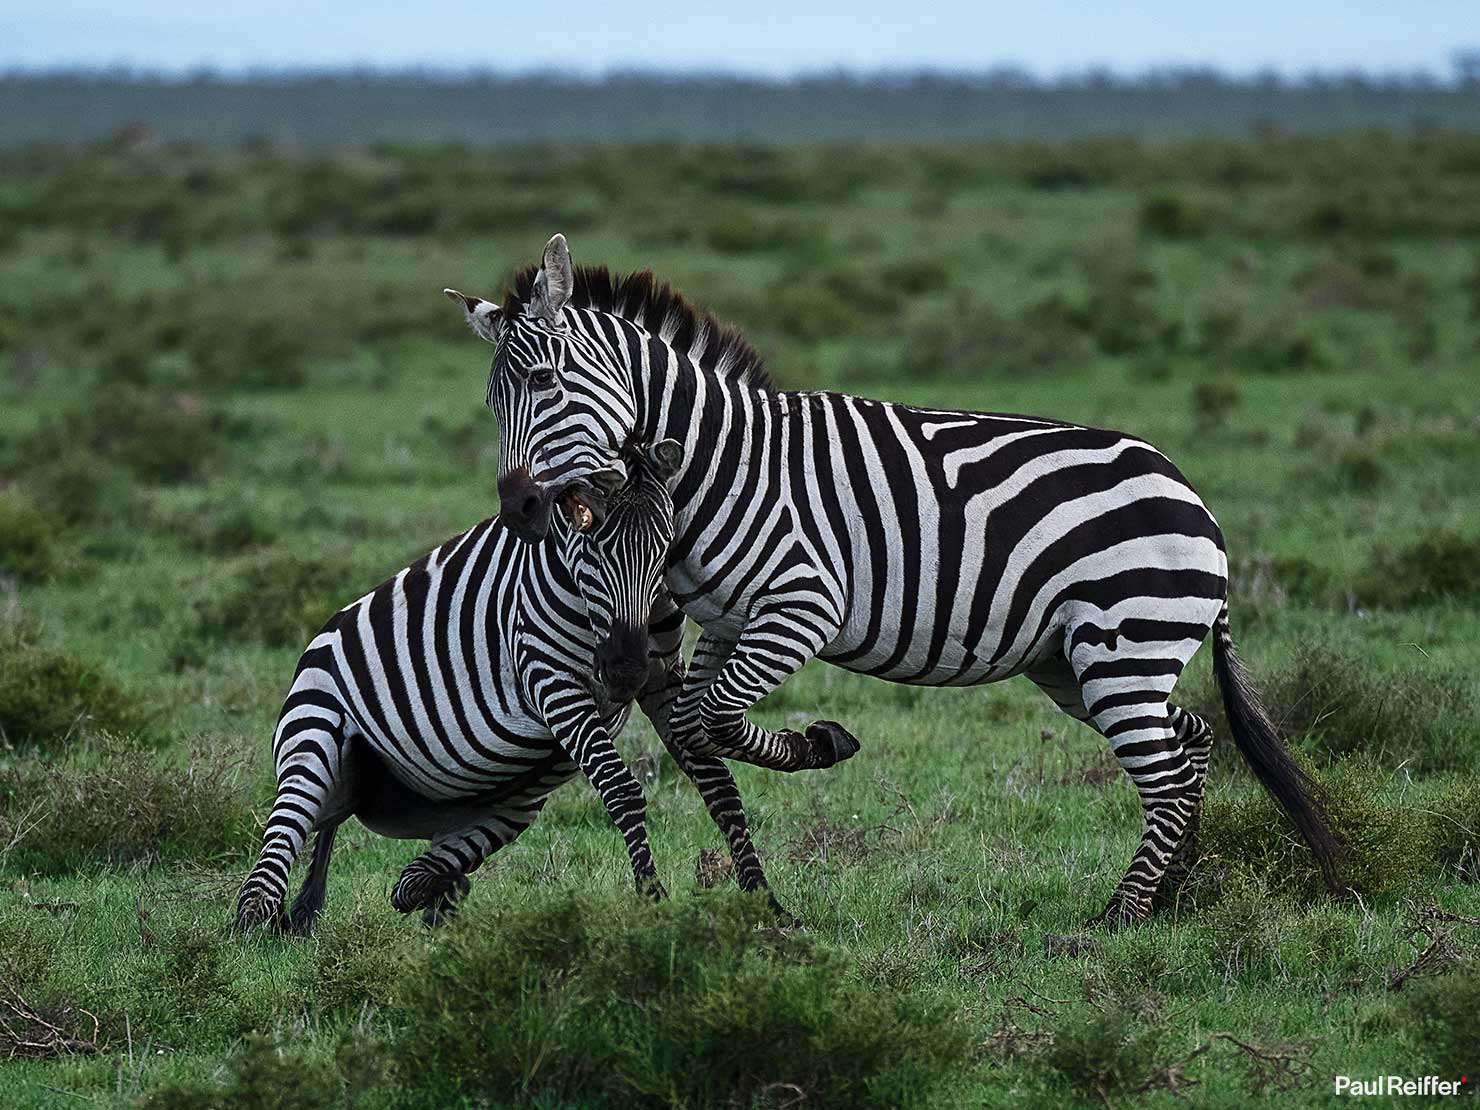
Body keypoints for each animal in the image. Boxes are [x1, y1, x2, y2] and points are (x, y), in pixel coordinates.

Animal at [233, 439, 781, 933]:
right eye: (592, 549)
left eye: (665, 552)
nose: (625, 673)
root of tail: (320, 635)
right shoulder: (551, 681)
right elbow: (623, 790)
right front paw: (653, 903)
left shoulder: (663, 679)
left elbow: (718, 785)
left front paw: (766, 903)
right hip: (313, 735)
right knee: (286, 840)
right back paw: (255, 925)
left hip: (504, 802)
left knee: (397, 865)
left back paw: (429, 891)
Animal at [443, 233, 1345, 929]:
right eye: (489, 402)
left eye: (545, 382)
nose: (519, 508)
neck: (717, 464)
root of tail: (1197, 499)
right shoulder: (729, 626)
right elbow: (700, 728)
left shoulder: (800, 606)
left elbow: (721, 721)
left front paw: (819, 742)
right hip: (1080, 664)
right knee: (1188, 745)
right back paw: (1172, 893)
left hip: (1124, 647)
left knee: (1165, 773)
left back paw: (1119, 917)